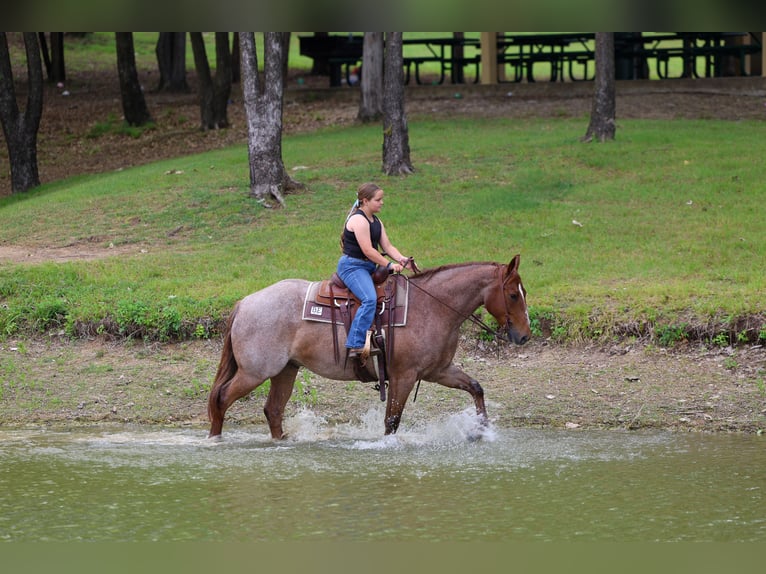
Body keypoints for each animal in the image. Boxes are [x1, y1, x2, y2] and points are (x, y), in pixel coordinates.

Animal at [207, 254, 531, 439]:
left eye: (522, 292)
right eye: (513, 294)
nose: (525, 336)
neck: (431, 307)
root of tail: (245, 303)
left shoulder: (438, 371)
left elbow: (476, 387)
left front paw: (482, 431)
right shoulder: (403, 376)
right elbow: (391, 421)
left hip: (285, 370)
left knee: (273, 409)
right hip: (255, 372)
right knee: (221, 399)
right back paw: (215, 440)